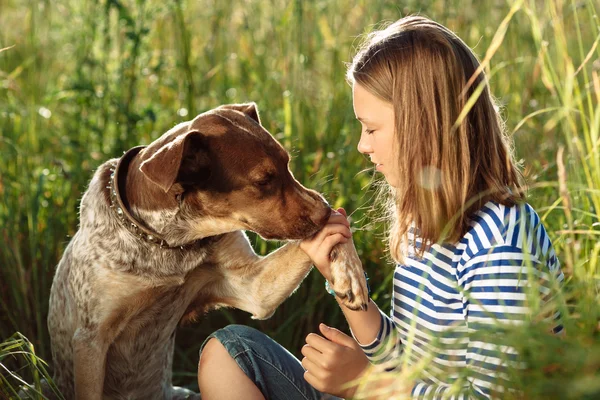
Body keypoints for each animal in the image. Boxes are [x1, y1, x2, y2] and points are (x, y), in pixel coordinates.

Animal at [45, 104, 366, 400]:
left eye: (287, 163)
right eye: (263, 181)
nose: (325, 211)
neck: (169, 243)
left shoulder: (253, 289)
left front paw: (350, 274)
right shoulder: (90, 340)